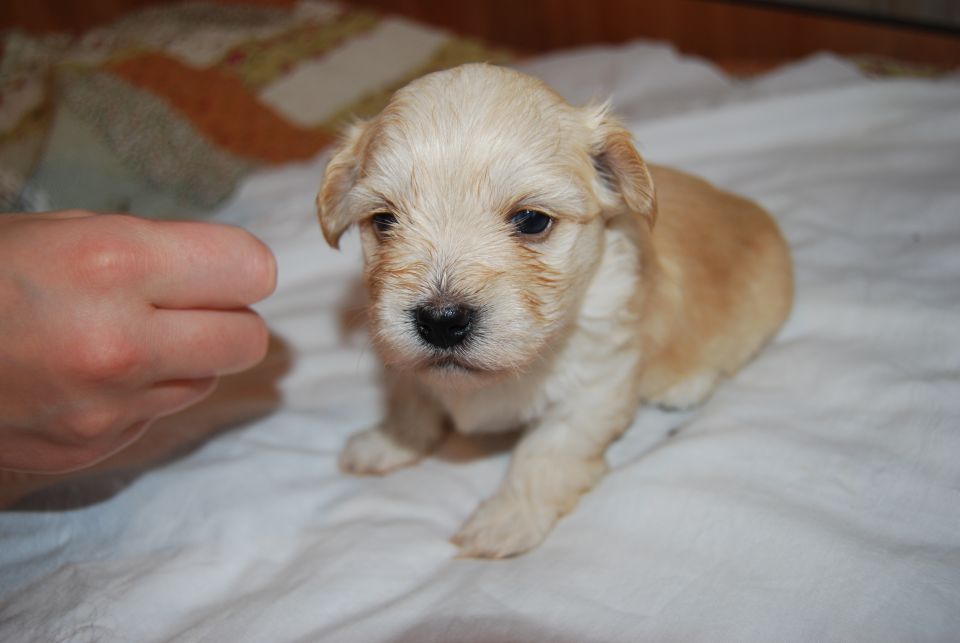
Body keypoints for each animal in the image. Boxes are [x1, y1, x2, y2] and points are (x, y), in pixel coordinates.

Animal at [318, 63, 792, 560]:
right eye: (383, 221)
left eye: (531, 220)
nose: (441, 322)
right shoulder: (404, 360)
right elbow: (411, 402)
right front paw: (385, 443)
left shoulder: (593, 390)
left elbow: (544, 454)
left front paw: (506, 520)